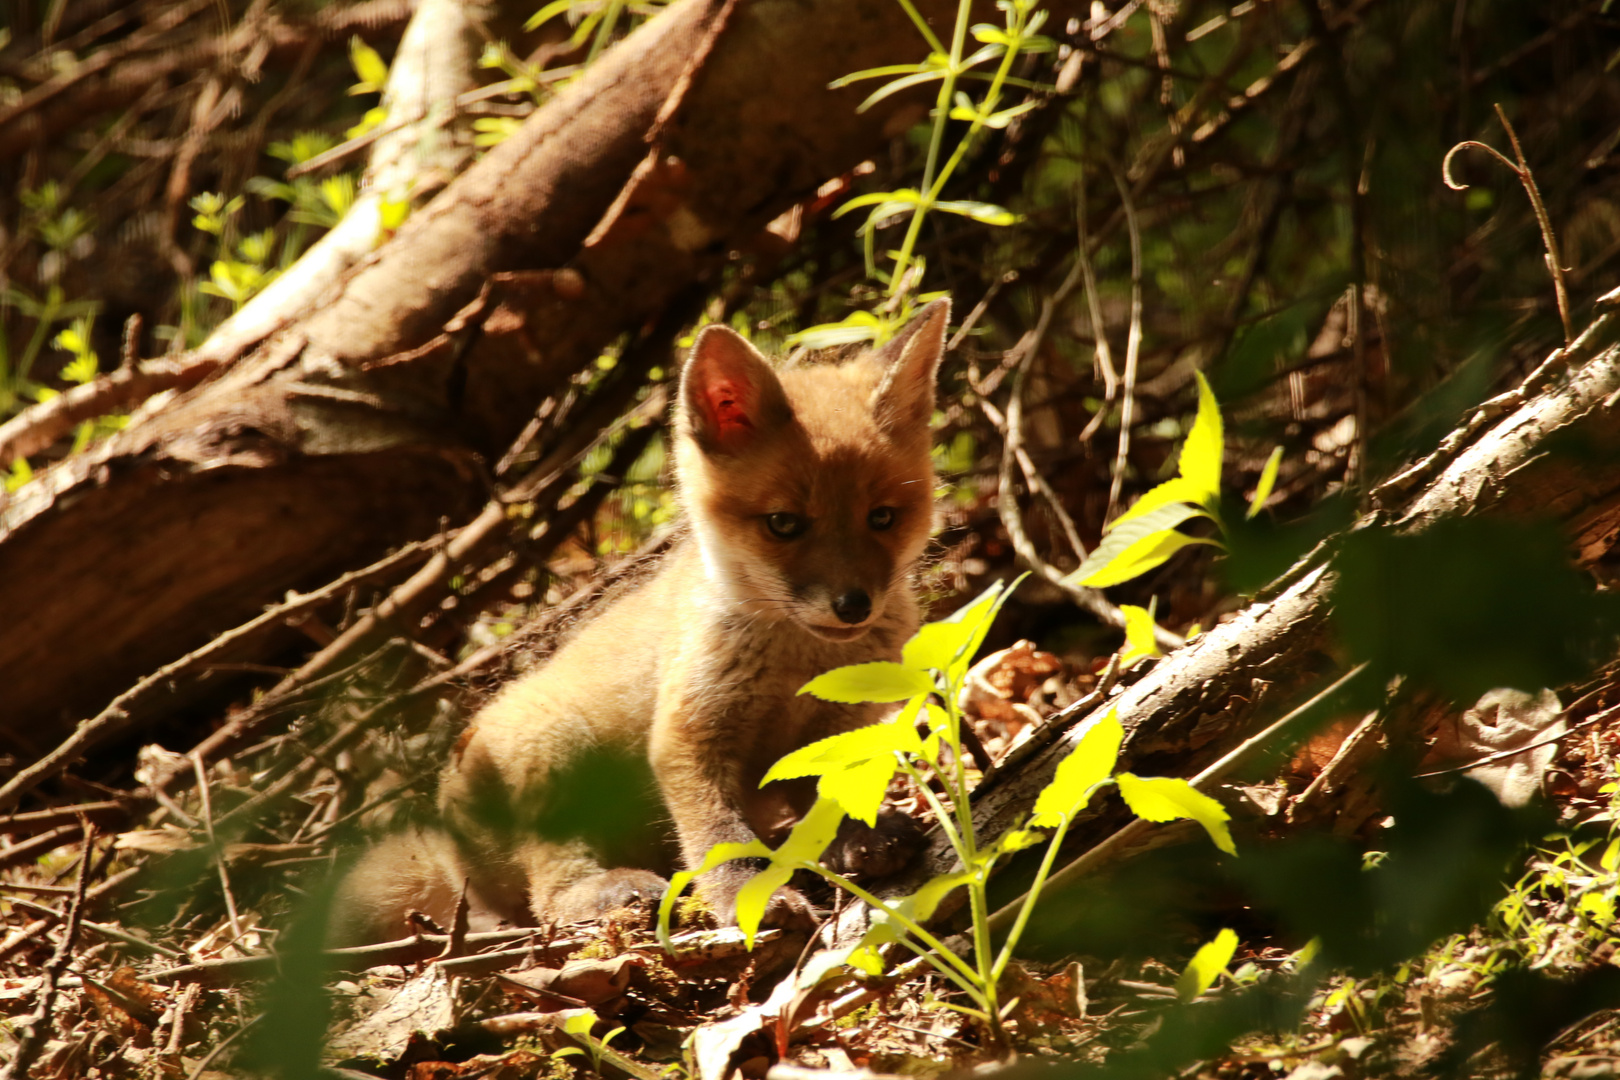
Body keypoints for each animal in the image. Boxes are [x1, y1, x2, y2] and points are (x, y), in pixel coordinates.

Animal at [341, 299, 946, 939]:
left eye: (882, 518)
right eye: (783, 524)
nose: (853, 605)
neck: (801, 665)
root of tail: (448, 855)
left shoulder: (830, 731)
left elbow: (832, 796)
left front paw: (857, 836)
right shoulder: (687, 737)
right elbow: (721, 839)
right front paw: (749, 899)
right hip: (554, 752)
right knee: (548, 896)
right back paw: (606, 891)